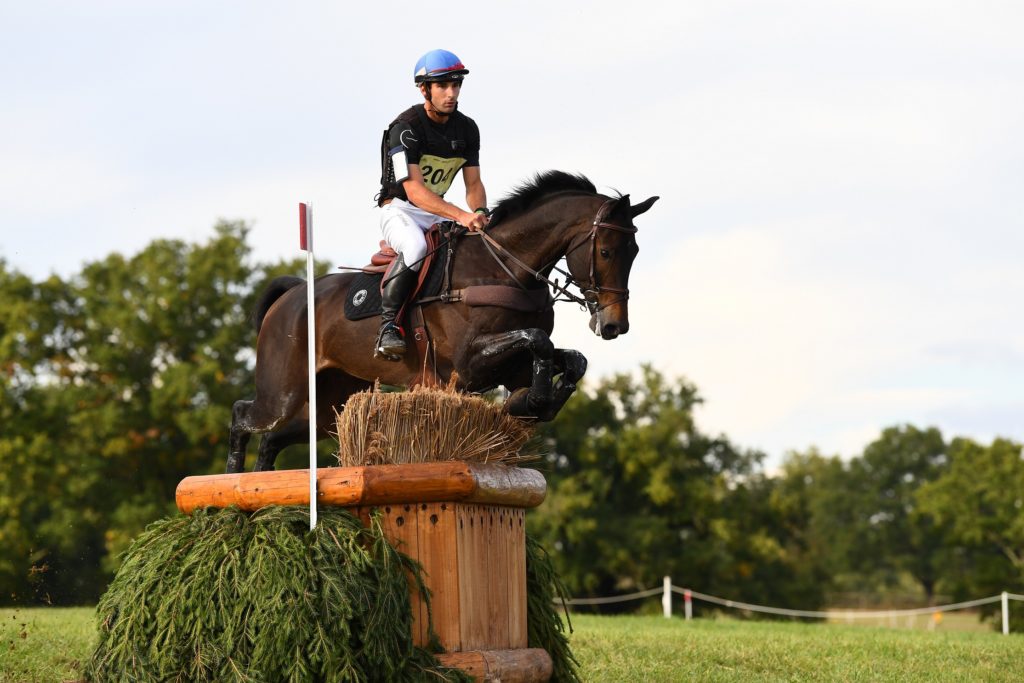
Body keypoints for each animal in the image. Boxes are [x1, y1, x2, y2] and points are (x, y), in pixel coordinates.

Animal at [226, 172, 655, 471]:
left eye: (635, 251)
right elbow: (538, 339)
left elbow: (571, 359)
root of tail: (293, 292)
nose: (614, 326)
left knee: (272, 440)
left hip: (330, 401)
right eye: (605, 251)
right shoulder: (468, 365)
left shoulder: (512, 365)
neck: (505, 266)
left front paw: (534, 403)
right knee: (243, 415)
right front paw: (530, 401)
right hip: (284, 392)